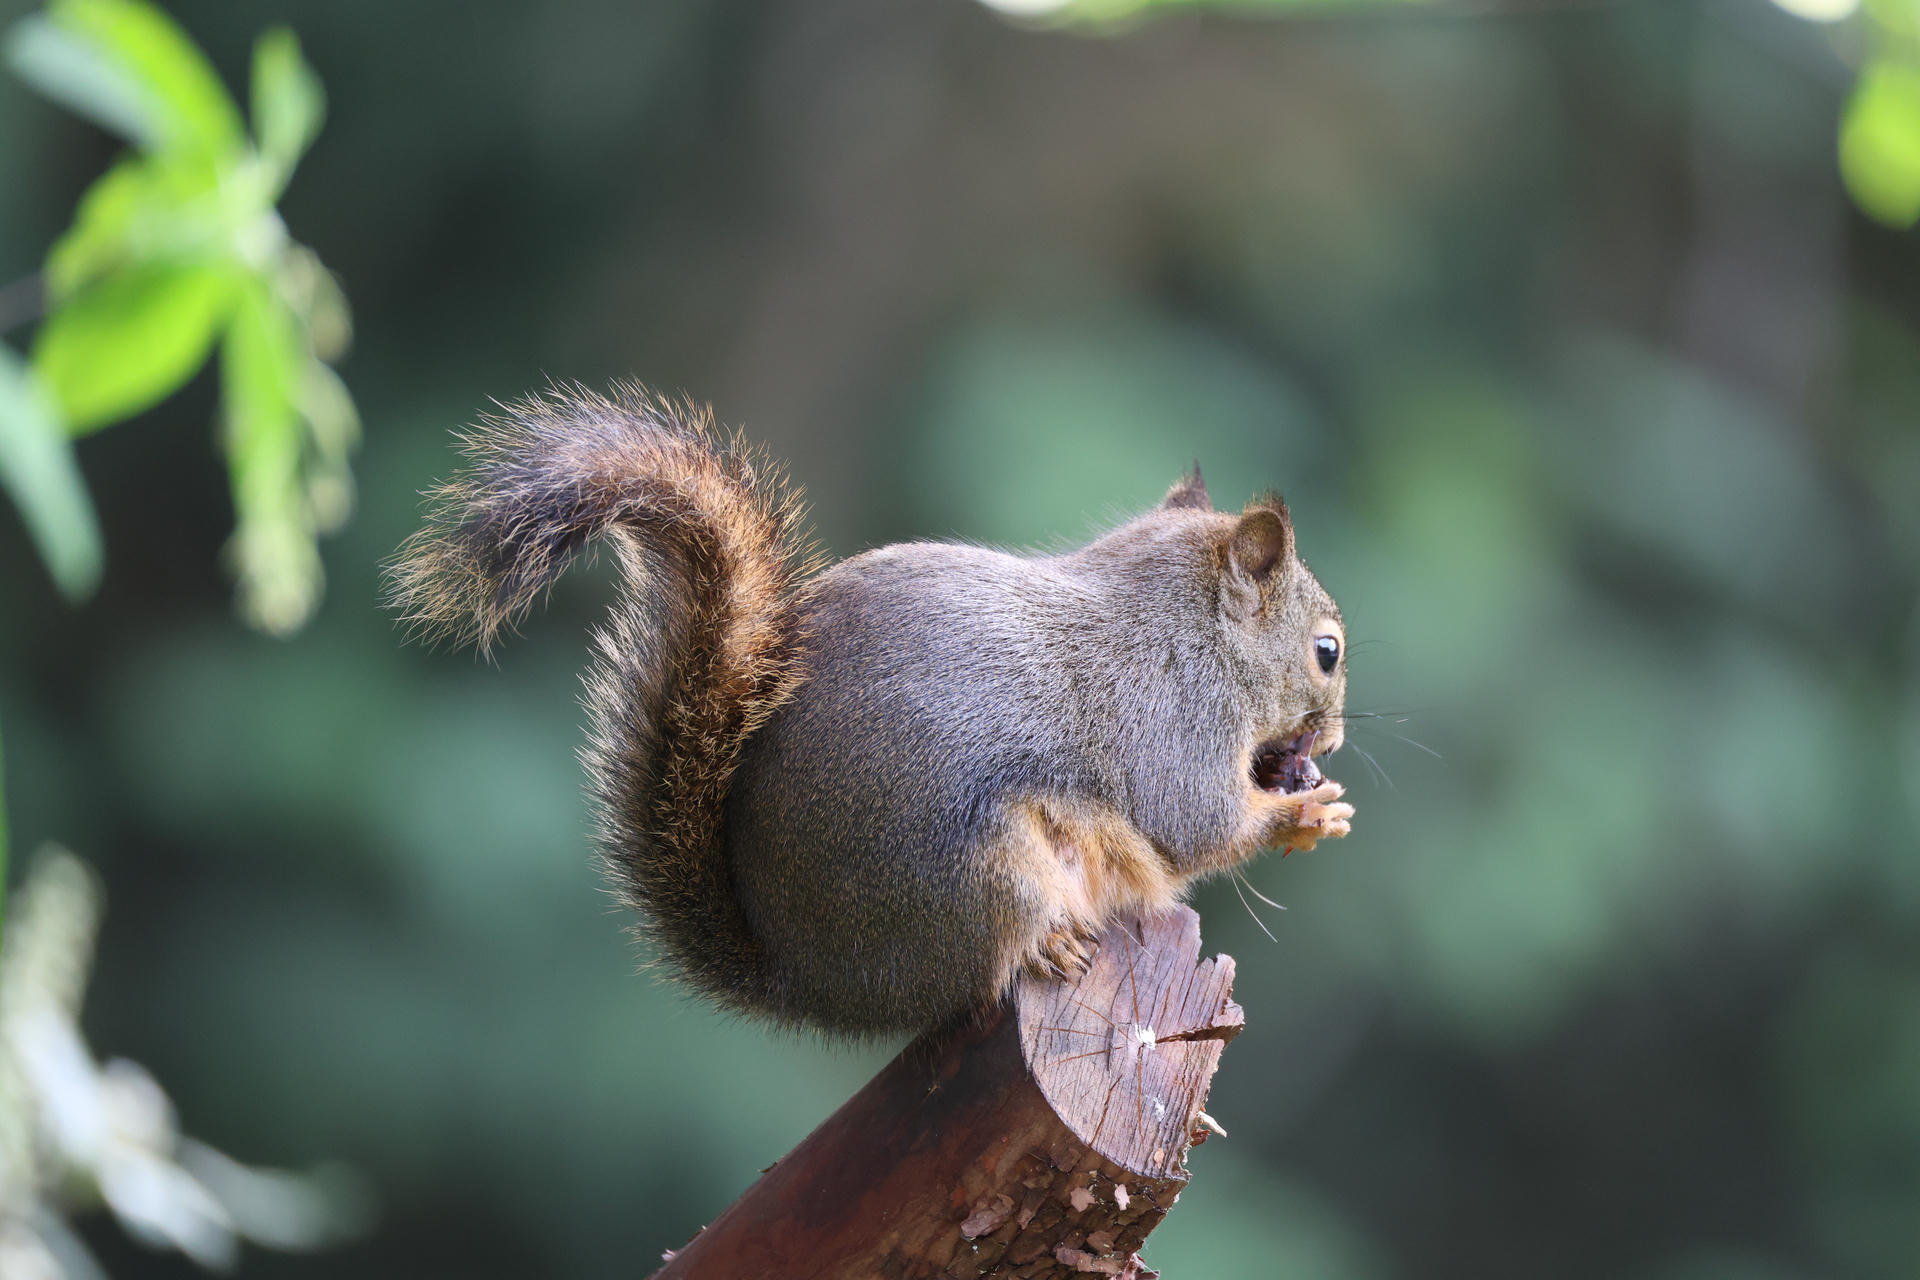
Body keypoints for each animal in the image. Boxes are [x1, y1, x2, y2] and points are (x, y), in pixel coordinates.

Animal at [389, 383, 1353, 1036]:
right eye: (1327, 652)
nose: (1334, 740)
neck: (1186, 627)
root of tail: (815, 982)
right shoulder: (1175, 721)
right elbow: (1195, 824)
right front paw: (1305, 813)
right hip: (983, 871)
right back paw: (1046, 946)